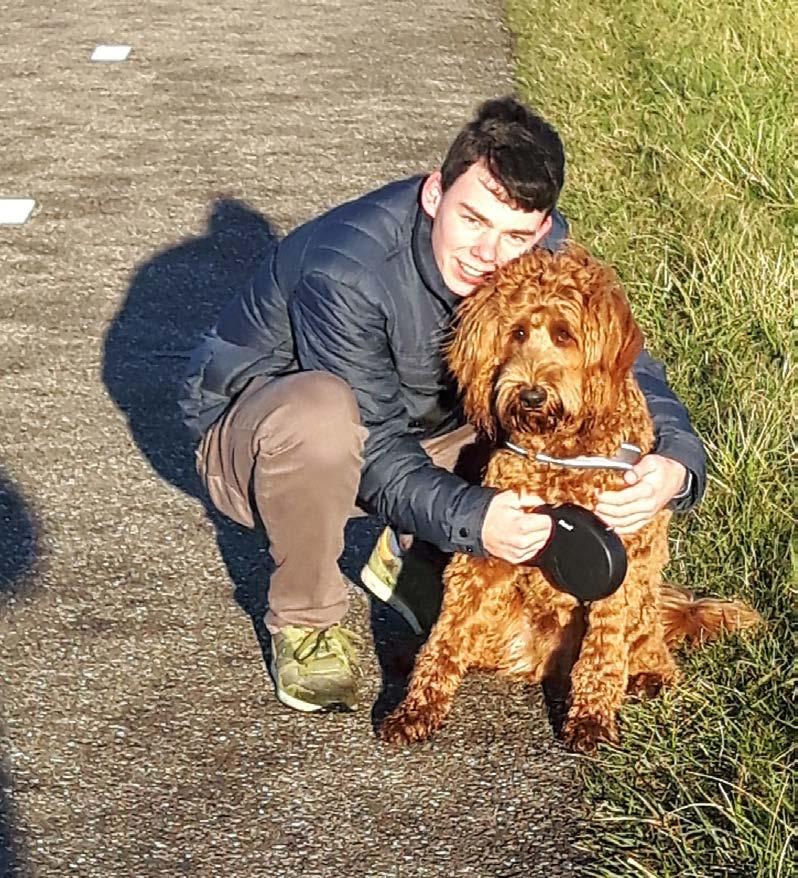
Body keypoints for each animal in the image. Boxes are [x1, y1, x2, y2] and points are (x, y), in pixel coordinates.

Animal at [382, 244, 764, 752]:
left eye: (565, 335)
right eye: (517, 332)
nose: (530, 395)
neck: (561, 452)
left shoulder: (621, 561)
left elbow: (603, 651)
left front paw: (591, 720)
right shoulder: (486, 550)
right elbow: (447, 634)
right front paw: (417, 706)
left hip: (644, 605)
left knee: (649, 649)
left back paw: (648, 676)